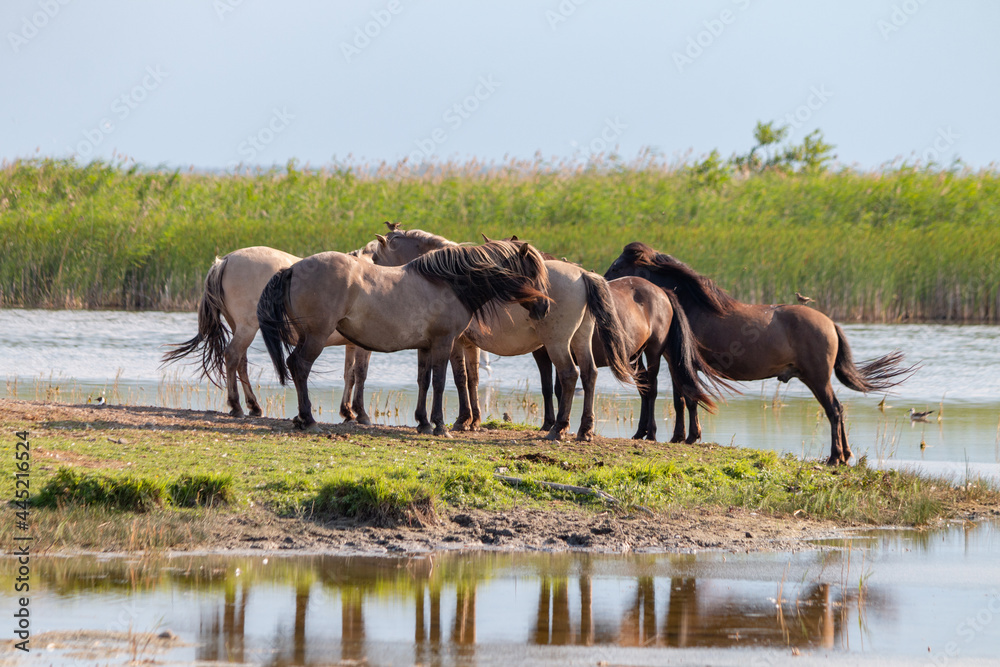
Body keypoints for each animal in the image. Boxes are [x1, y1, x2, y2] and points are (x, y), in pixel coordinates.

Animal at [161, 241, 381, 421]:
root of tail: (225, 260)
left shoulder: (351, 345)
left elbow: (349, 374)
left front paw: (347, 411)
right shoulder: (362, 345)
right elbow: (360, 374)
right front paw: (360, 413)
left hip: (239, 327)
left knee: (241, 362)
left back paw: (253, 406)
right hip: (247, 328)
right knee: (232, 356)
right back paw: (237, 406)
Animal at [256, 239, 551, 436]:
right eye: (533, 273)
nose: (544, 308)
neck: (450, 283)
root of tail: (293, 269)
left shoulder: (426, 346)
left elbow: (424, 381)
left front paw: (423, 422)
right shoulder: (444, 343)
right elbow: (441, 383)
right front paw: (440, 426)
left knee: (295, 365)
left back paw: (302, 418)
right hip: (316, 337)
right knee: (300, 366)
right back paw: (308, 419)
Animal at [371, 229, 636, 441]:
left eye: (374, 258)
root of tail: (582, 275)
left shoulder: (454, 342)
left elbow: (458, 378)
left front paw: (461, 420)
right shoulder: (469, 345)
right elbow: (472, 378)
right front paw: (472, 421)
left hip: (557, 343)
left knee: (570, 375)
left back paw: (558, 429)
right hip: (580, 339)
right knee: (589, 374)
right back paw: (584, 430)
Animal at [533, 276, 734, 442]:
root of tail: (662, 292)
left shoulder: (552, 351)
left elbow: (556, 388)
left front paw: (555, 425)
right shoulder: (544, 355)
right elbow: (549, 388)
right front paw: (549, 424)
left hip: (654, 352)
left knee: (652, 389)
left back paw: (653, 433)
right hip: (636, 355)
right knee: (647, 386)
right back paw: (643, 432)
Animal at [604, 242, 915, 464]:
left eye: (617, 264)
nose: (603, 281)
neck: (688, 304)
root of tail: (830, 323)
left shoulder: (680, 362)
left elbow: (688, 398)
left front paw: (688, 436)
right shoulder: (676, 362)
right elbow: (682, 399)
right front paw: (681, 436)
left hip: (817, 379)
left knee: (834, 410)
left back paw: (834, 458)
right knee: (838, 410)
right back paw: (846, 455)